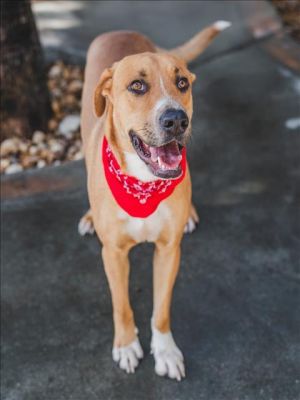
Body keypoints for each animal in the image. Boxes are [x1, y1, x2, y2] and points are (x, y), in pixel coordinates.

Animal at [78, 19, 231, 382]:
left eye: (181, 83)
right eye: (136, 86)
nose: (176, 119)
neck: (143, 183)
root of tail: (120, 31)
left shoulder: (168, 251)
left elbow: (161, 310)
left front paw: (165, 352)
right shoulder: (114, 254)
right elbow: (121, 305)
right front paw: (125, 346)